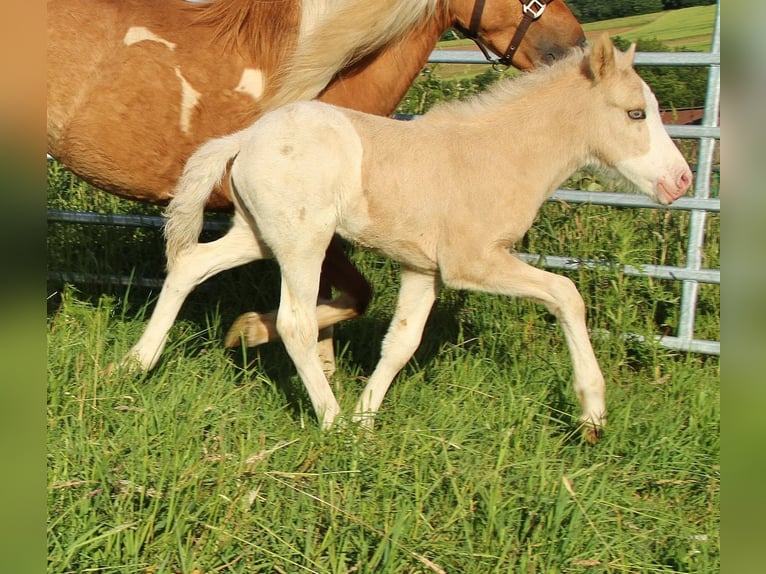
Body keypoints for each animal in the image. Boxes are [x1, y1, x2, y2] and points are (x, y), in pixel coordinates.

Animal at [125, 34, 692, 442]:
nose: (681, 181)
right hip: (303, 243)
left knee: (190, 265)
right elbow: (566, 294)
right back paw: (329, 419)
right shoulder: (474, 262)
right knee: (294, 324)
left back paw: (138, 363)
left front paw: (367, 418)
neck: (499, 153)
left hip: (260, 235)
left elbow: (401, 343)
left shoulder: (424, 268)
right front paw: (592, 414)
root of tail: (247, 137)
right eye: (636, 113)